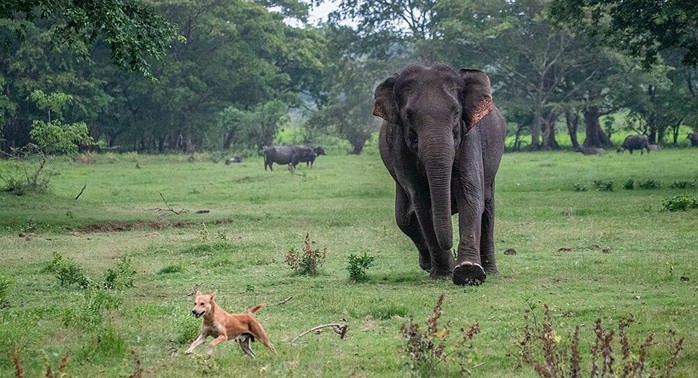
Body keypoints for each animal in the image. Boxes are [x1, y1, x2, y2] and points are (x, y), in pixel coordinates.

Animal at [372, 62, 502, 286]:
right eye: (409, 116)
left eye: (456, 112)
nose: (453, 252)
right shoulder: (400, 149)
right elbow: (423, 203)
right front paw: (445, 273)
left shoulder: (469, 137)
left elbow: (470, 195)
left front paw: (468, 272)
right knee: (403, 219)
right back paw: (428, 264)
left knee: (487, 210)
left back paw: (490, 271)